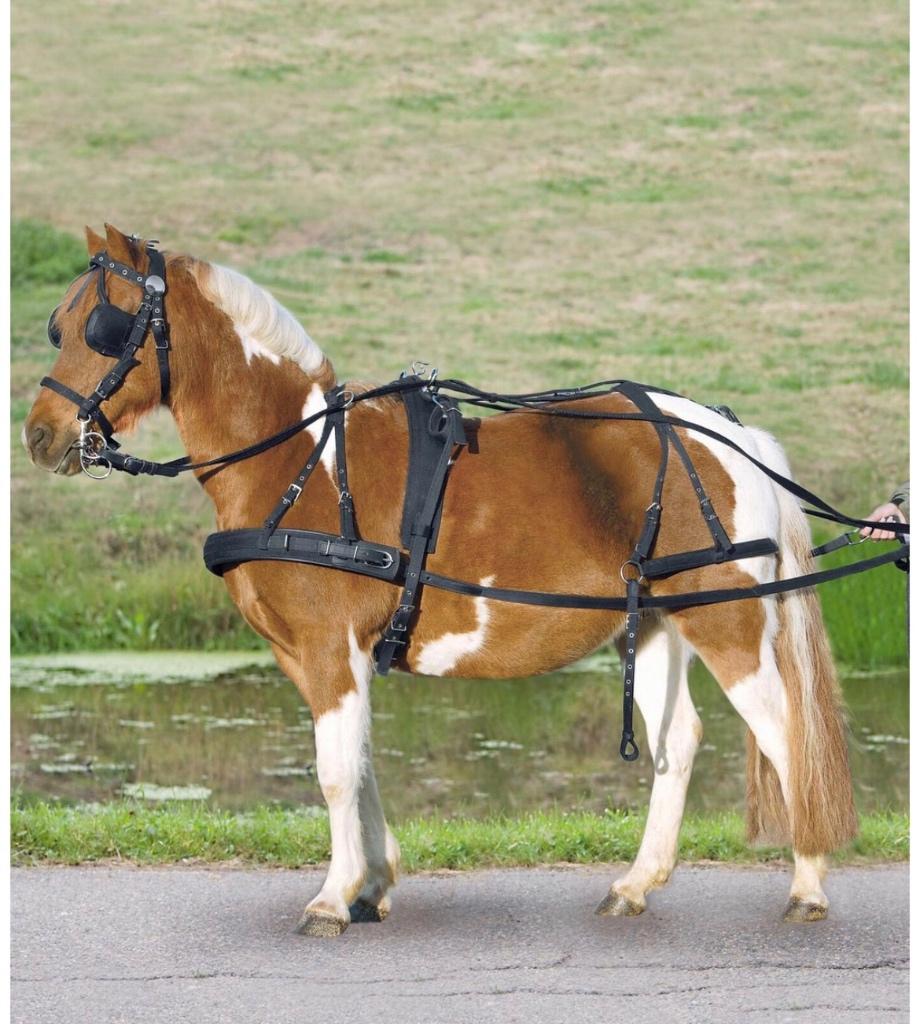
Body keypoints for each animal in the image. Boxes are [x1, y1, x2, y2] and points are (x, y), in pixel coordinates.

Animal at [23, 224, 857, 936]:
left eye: (106, 327)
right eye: (60, 326)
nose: (39, 435)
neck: (297, 459)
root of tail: (734, 436)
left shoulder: (327, 647)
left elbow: (334, 771)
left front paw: (333, 896)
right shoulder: (324, 656)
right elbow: (358, 762)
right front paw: (372, 884)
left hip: (727, 622)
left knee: (785, 731)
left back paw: (808, 883)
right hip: (656, 619)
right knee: (676, 741)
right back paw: (634, 884)